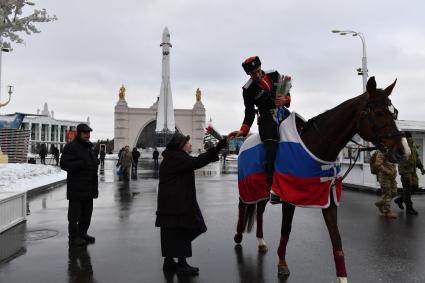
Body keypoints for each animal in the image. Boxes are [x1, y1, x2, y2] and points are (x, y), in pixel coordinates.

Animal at [234, 76, 410, 282]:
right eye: (379, 112)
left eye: (395, 112)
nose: (404, 151)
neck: (315, 145)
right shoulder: (289, 198)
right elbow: (286, 229)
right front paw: (282, 263)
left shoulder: (329, 199)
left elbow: (336, 238)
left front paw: (342, 277)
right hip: (247, 188)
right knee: (242, 206)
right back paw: (238, 236)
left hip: (262, 191)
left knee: (260, 211)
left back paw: (261, 241)